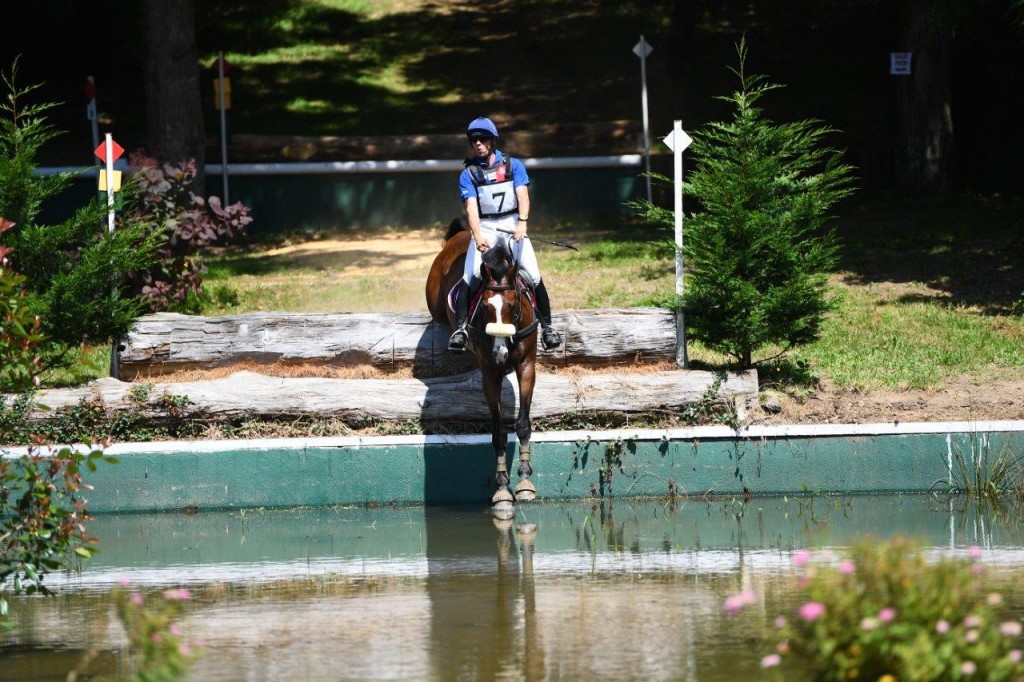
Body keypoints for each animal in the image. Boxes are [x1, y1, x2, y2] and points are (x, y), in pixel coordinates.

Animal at [425, 220, 540, 512]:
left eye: (513, 305)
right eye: (486, 308)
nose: (500, 353)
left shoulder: (526, 366)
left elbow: (522, 423)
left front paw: (524, 480)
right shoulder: (490, 374)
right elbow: (498, 431)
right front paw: (501, 487)